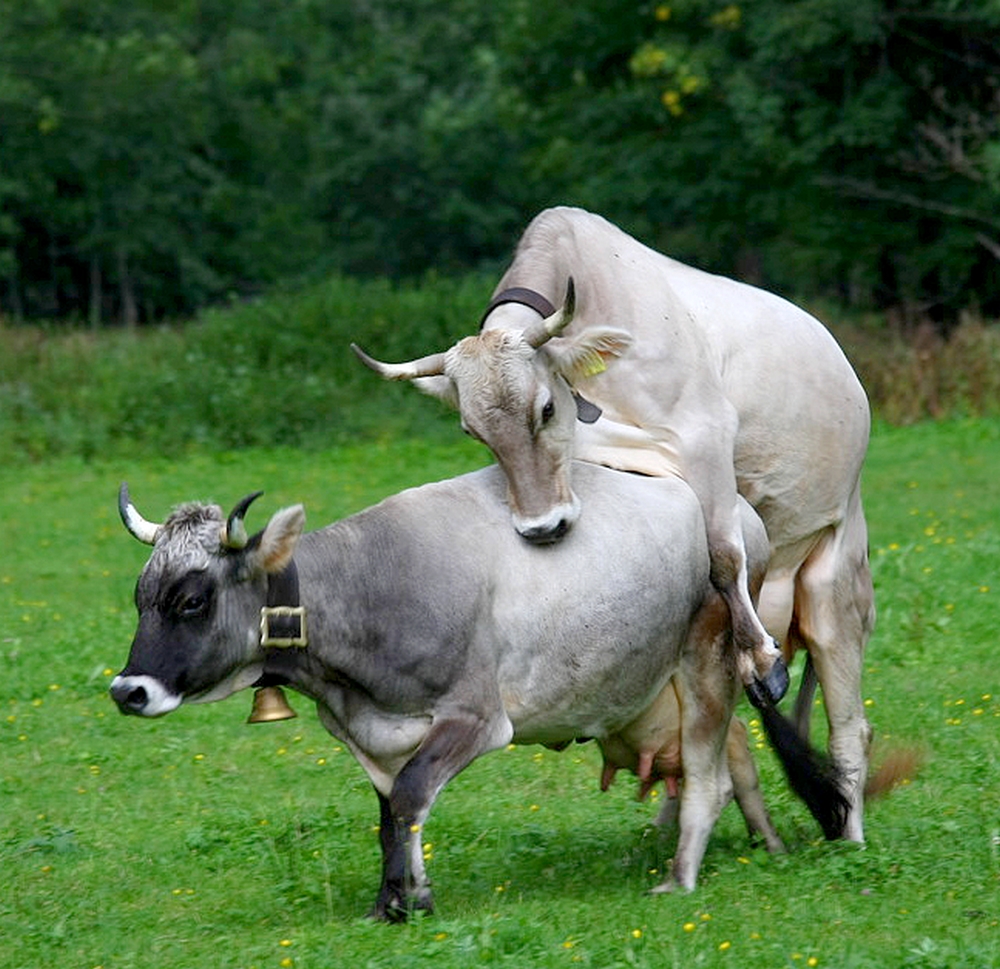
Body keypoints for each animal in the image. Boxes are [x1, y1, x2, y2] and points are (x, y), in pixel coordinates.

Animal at [109, 460, 844, 916]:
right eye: (141, 595)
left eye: (193, 599)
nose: (127, 691)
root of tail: (736, 509)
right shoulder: (377, 733)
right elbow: (392, 816)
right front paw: (394, 901)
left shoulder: (476, 717)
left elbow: (411, 796)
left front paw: (408, 901)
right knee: (733, 758)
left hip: (710, 660)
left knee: (707, 775)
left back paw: (680, 876)